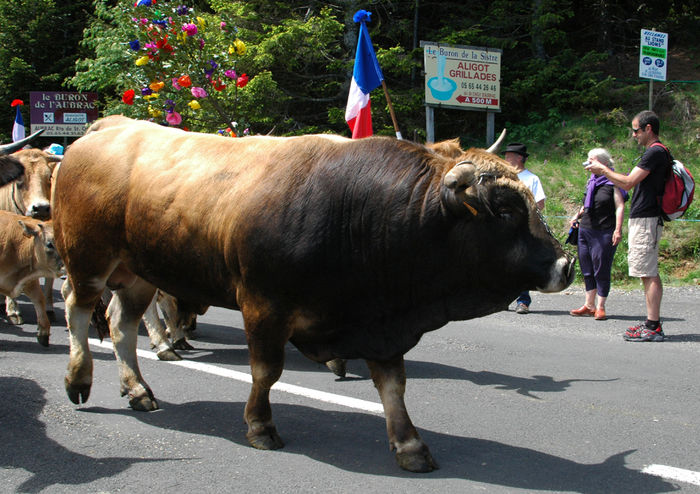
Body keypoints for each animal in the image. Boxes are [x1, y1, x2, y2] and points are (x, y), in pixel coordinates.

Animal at [53, 115, 576, 470]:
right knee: (77, 311)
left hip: (138, 273)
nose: (566, 265)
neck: (362, 212)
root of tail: (107, 127)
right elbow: (266, 372)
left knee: (121, 327)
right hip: (87, 261)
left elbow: (393, 385)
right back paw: (79, 378)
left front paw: (409, 444)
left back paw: (138, 389)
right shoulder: (263, 307)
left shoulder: (380, 320)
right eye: (505, 210)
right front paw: (261, 426)